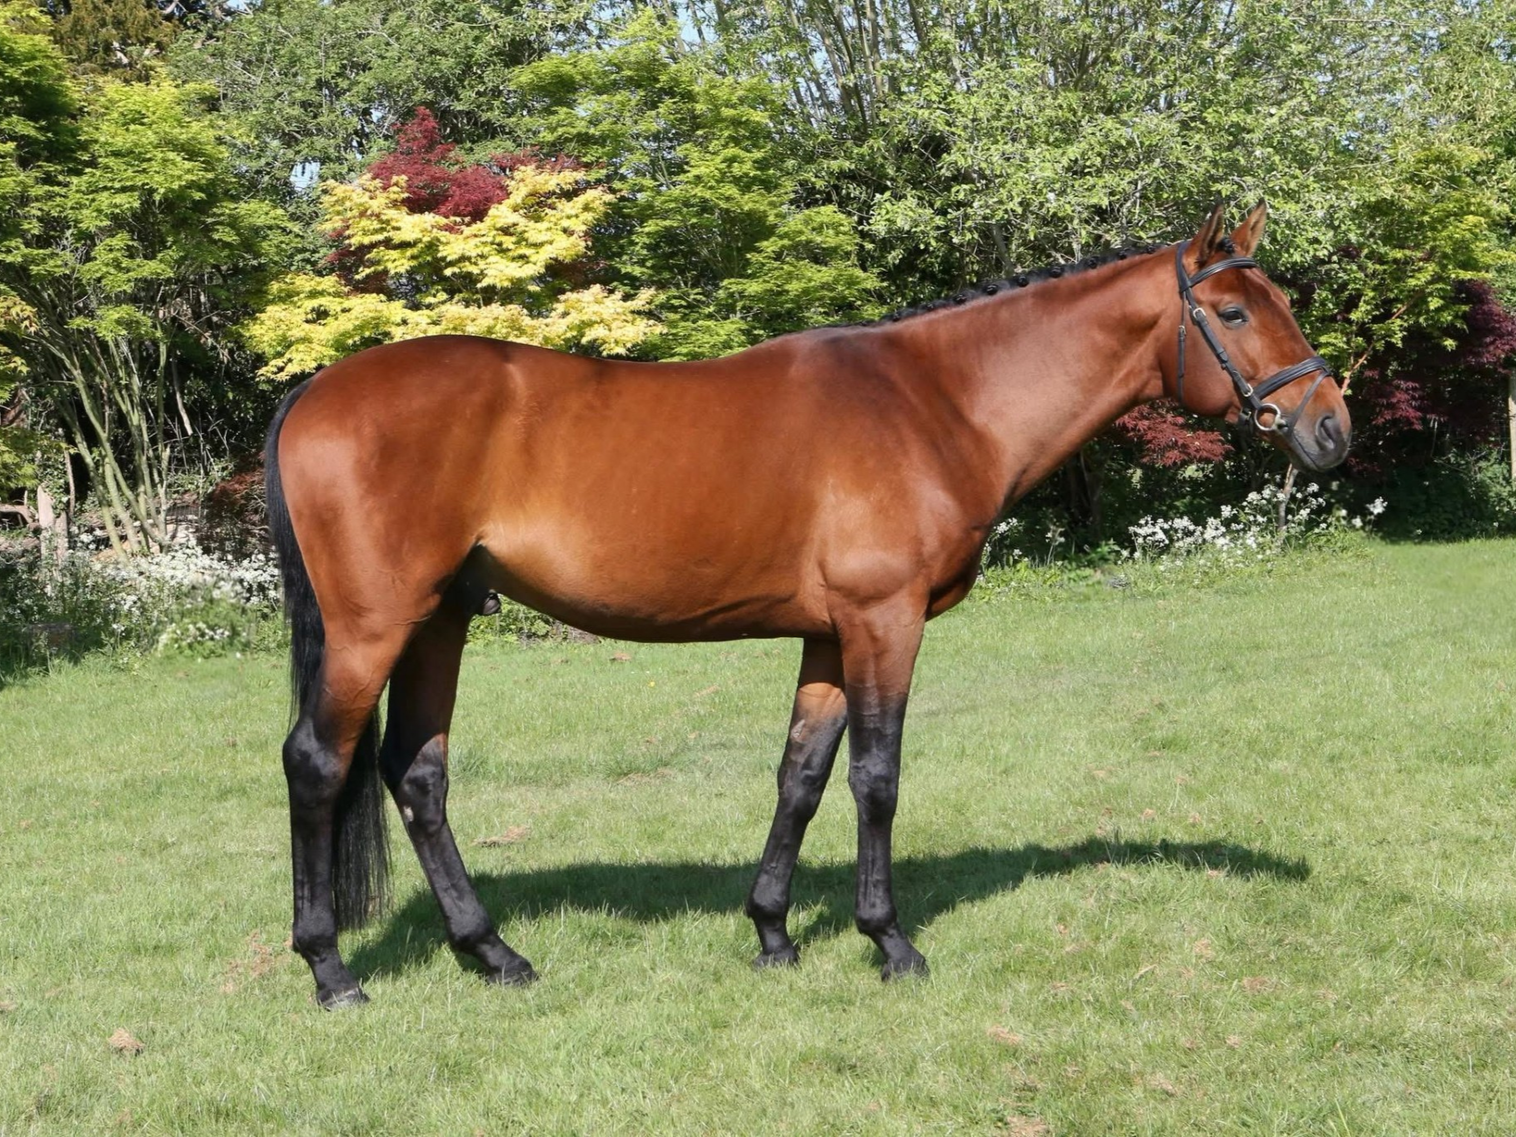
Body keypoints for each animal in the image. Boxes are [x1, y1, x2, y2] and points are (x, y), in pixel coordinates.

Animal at [263, 202, 1350, 1007]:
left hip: (439, 621)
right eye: (1236, 314)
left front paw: (774, 934)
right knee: (317, 765)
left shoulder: (828, 638)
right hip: (373, 628)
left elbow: (801, 776)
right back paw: (330, 969)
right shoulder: (883, 621)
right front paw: (889, 942)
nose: (1330, 427)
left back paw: (494, 954)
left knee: (417, 774)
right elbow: (876, 778)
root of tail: (316, 391)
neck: (936, 402)